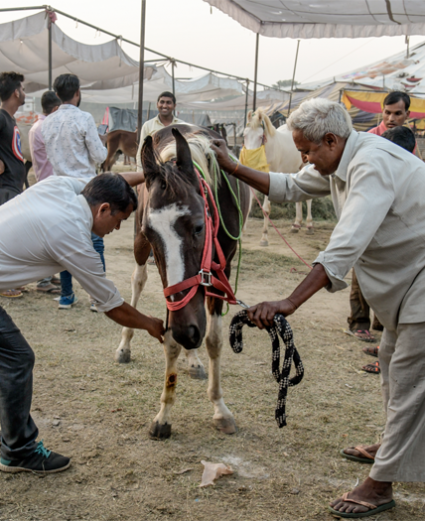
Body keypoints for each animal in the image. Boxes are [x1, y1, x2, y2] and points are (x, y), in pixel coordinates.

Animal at [116, 125, 250, 438]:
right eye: (151, 233)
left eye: (199, 227)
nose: (187, 331)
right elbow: (170, 340)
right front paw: (164, 414)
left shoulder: (222, 268)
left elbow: (213, 340)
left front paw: (220, 408)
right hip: (139, 252)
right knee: (138, 281)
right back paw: (126, 345)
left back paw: (194, 358)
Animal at [242, 108, 312, 246]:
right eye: (244, 135)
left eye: (260, 136)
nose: (249, 161)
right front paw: (241, 234)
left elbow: (266, 209)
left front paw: (264, 237)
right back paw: (296, 225)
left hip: (304, 166)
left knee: (308, 199)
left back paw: (309, 226)